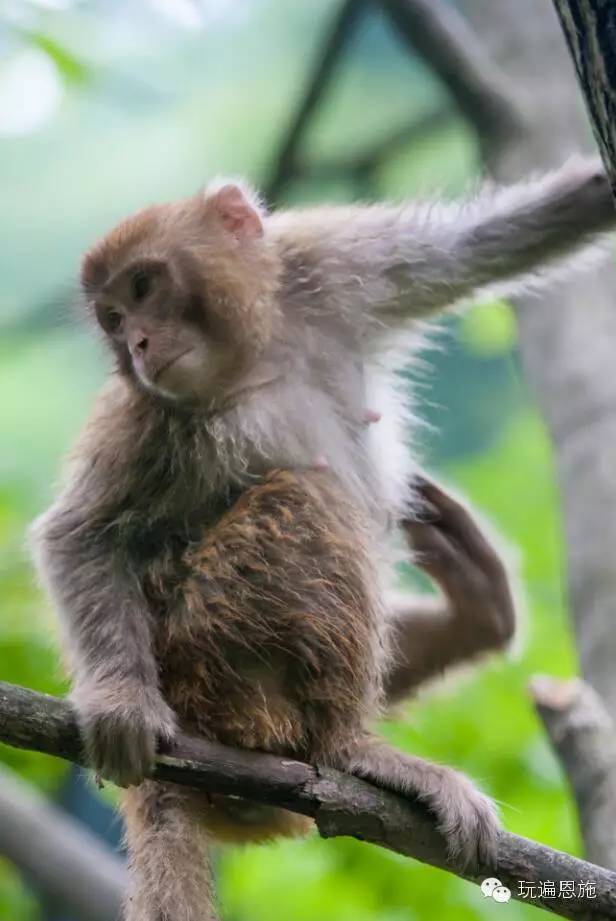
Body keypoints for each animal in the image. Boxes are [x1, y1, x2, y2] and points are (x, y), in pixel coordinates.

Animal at [31, 158, 616, 920]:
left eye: (142, 287)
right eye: (113, 320)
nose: (136, 343)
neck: (254, 361)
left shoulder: (328, 268)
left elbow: (481, 246)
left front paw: (594, 193)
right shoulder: (147, 415)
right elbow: (80, 534)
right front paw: (122, 702)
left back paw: (472, 618)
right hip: (205, 666)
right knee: (307, 501)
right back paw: (348, 750)